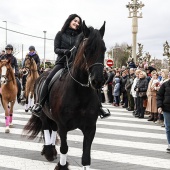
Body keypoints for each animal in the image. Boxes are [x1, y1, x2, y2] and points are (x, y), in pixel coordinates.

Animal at [23, 20, 105, 169]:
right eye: (87, 50)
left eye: (104, 49)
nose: (98, 80)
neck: (80, 92)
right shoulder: (63, 126)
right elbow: (64, 148)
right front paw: (61, 166)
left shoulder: (90, 128)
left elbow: (86, 156)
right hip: (43, 115)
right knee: (46, 128)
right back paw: (49, 151)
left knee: (52, 129)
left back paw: (51, 151)